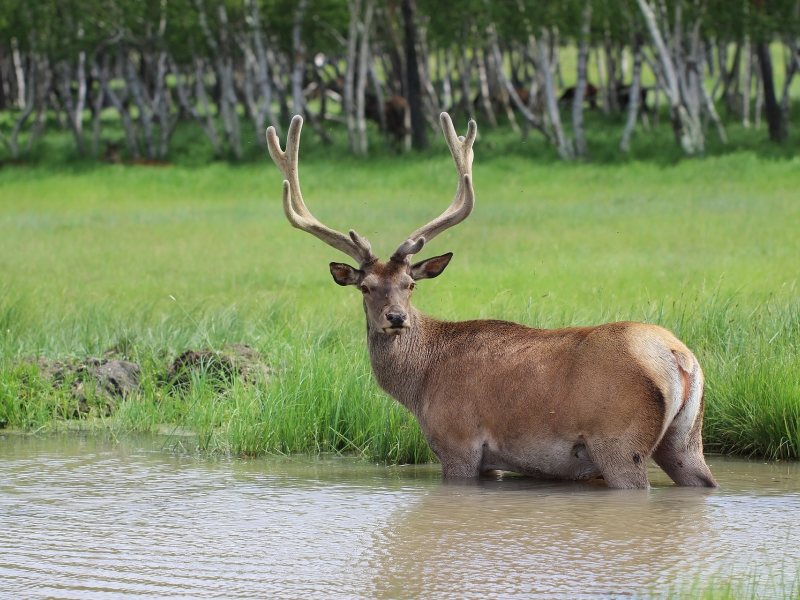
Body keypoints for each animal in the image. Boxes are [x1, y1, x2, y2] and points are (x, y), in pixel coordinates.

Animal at [264, 111, 720, 488]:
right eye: (366, 286)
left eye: (410, 284)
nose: (395, 318)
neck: (419, 383)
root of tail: (679, 357)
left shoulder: (458, 442)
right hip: (687, 438)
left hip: (620, 442)